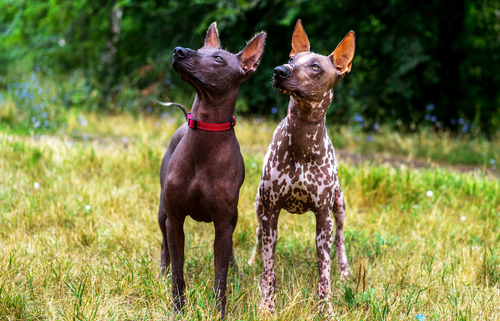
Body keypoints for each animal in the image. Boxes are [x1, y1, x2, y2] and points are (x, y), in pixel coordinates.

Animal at [158, 23, 266, 318]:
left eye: (218, 58)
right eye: (199, 48)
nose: (179, 51)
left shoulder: (222, 224)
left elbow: (220, 276)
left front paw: (220, 312)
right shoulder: (175, 219)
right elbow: (178, 272)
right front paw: (178, 309)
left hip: (233, 218)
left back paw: (236, 271)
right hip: (162, 213)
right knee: (164, 245)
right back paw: (161, 271)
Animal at [250, 19, 356, 312]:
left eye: (316, 66)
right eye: (291, 59)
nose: (279, 70)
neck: (302, 140)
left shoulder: (323, 218)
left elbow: (324, 271)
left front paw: (326, 308)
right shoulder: (271, 211)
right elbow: (269, 268)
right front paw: (267, 304)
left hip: (339, 206)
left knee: (341, 239)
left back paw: (345, 270)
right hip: (258, 204)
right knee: (257, 234)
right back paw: (252, 260)